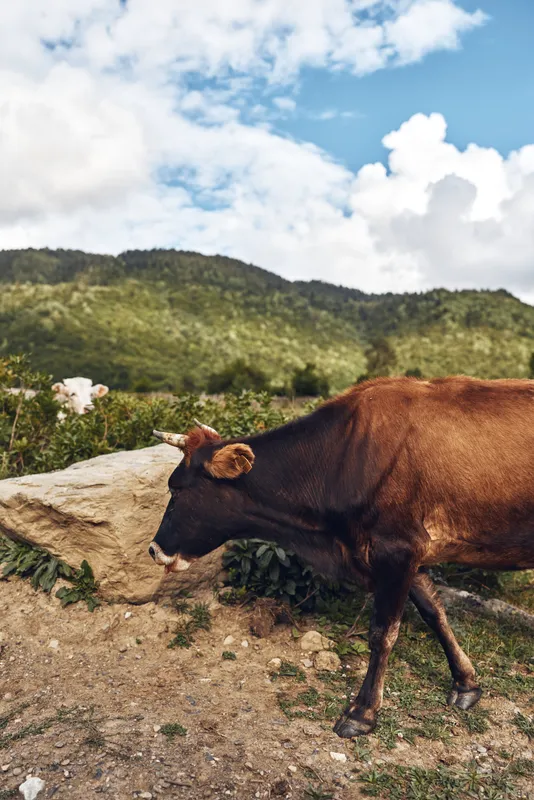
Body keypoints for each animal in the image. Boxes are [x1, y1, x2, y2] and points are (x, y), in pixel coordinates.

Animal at [147, 377, 534, 738]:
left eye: (176, 488)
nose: (154, 549)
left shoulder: (397, 548)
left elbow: (383, 633)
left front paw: (361, 713)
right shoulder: (403, 551)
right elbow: (434, 611)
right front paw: (466, 683)